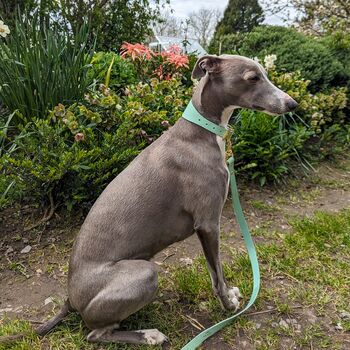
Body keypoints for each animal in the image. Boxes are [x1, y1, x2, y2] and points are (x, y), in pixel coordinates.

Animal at [2, 54, 298, 344]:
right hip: (145, 274)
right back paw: (148, 335)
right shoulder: (208, 223)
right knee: (95, 335)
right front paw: (229, 306)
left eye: (264, 73)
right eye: (252, 77)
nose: (292, 104)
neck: (200, 133)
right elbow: (217, 276)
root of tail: (70, 300)